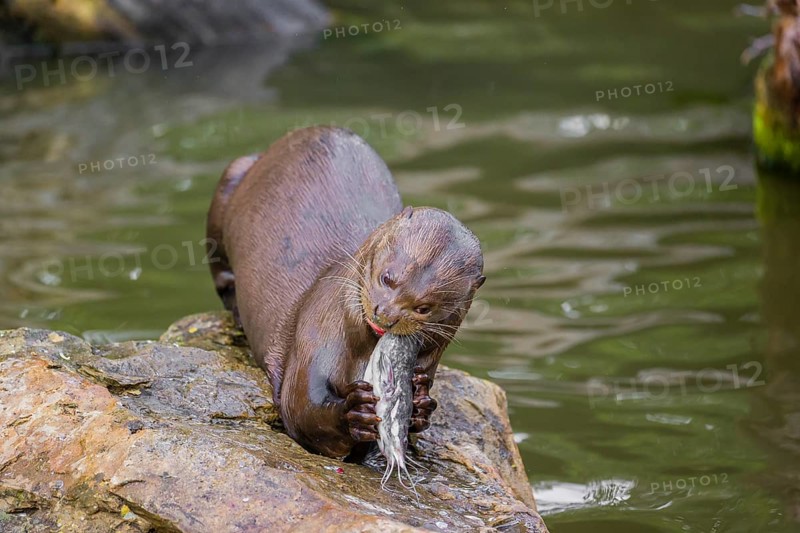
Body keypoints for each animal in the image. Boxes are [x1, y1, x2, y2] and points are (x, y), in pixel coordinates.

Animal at [206, 126, 485, 459]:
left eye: (424, 307)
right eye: (388, 277)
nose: (386, 315)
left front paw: (420, 405)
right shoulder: (315, 334)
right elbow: (300, 406)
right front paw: (354, 413)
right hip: (231, 180)